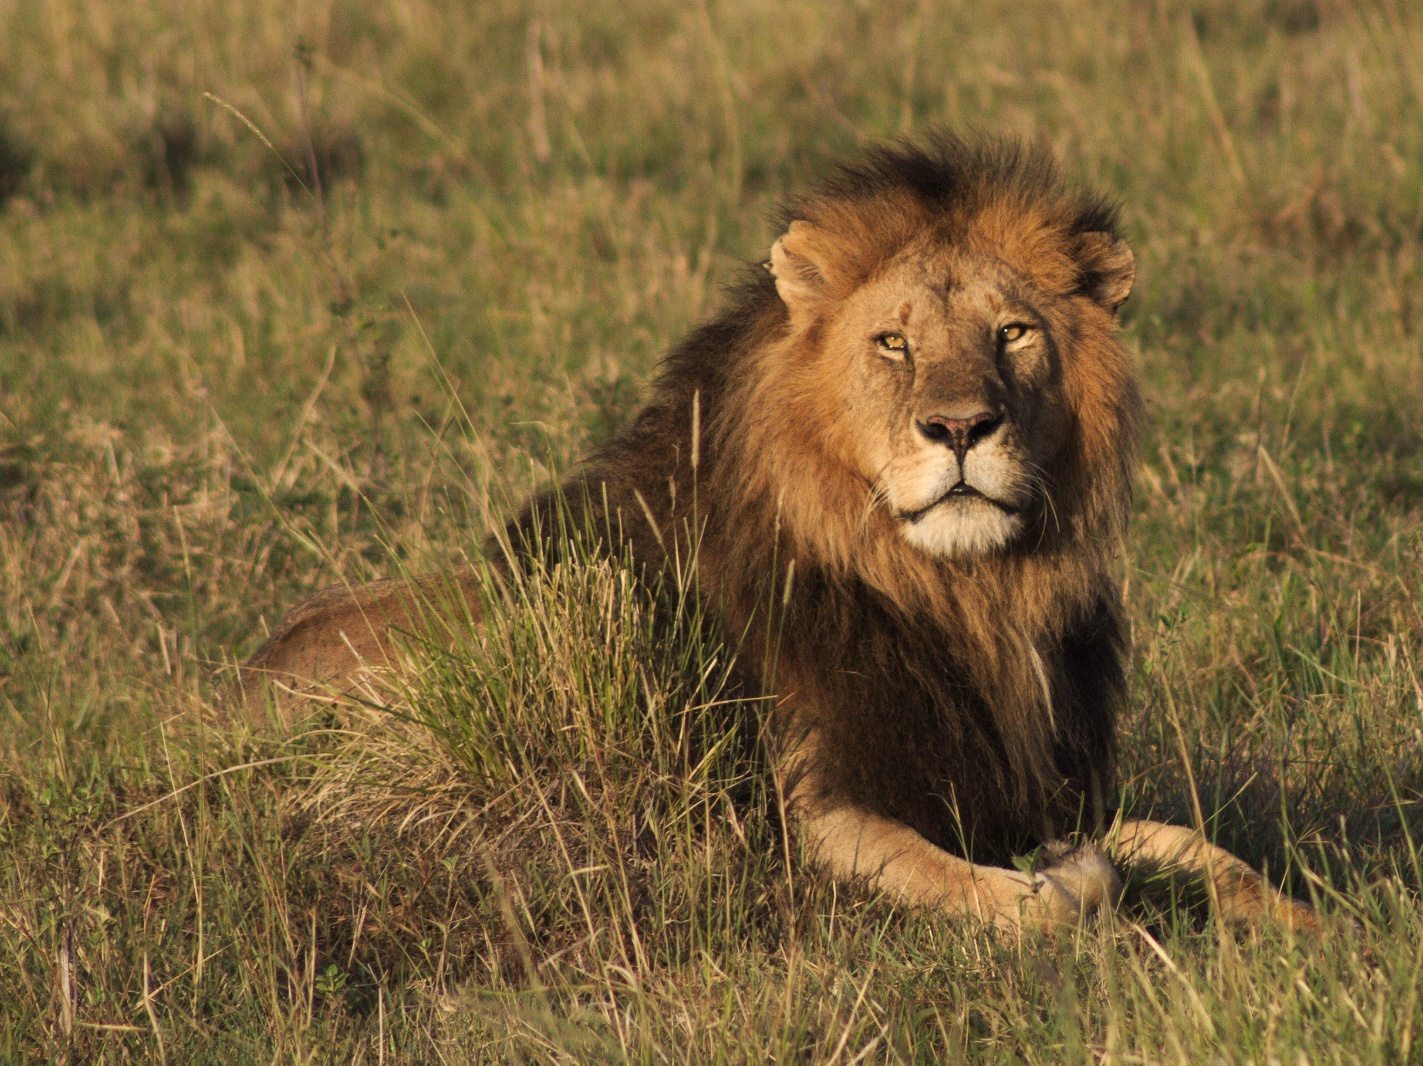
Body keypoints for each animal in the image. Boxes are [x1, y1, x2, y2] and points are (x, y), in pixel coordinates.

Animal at [239, 133, 1314, 933]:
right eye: (893, 342)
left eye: (1012, 333)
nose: (960, 427)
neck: (963, 598)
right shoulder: (812, 817)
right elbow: (1038, 902)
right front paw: (1068, 886)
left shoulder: (1037, 790)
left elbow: (1197, 846)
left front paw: (1312, 925)